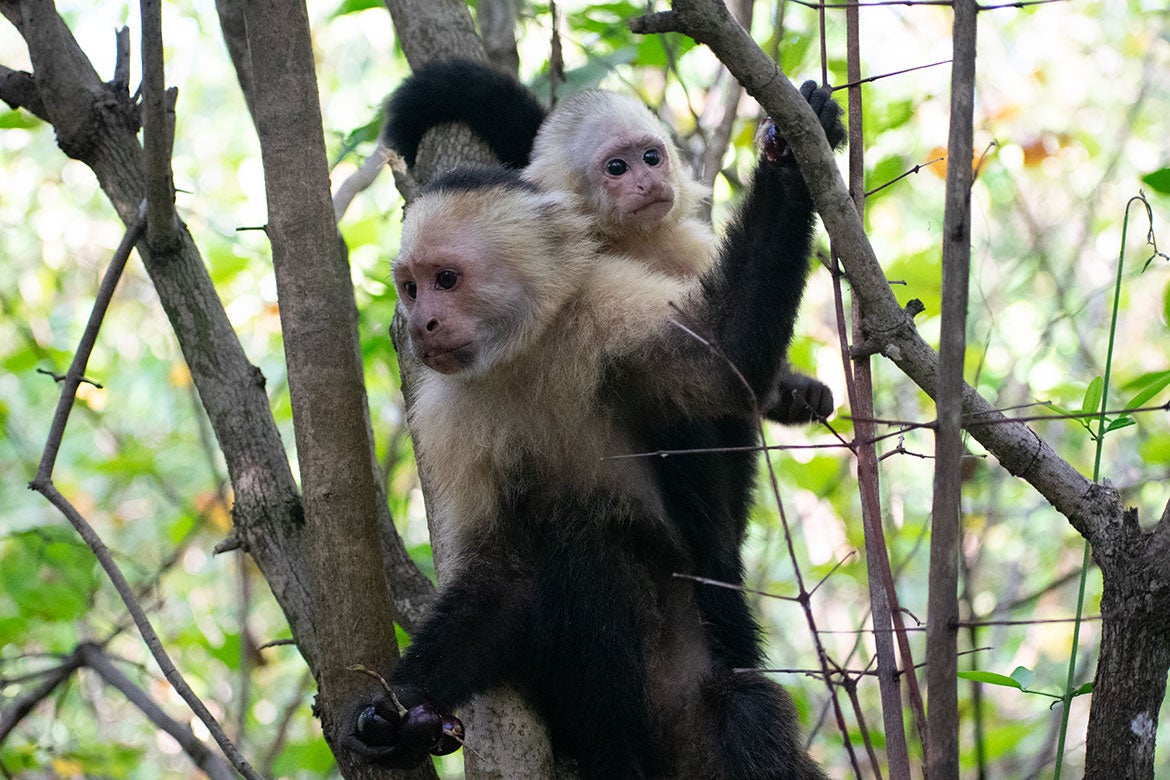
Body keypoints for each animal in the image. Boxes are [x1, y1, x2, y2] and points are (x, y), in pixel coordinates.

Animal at [346, 82, 845, 778]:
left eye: (447, 280)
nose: (422, 325)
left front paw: (790, 156)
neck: (526, 353)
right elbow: (500, 576)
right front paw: (391, 712)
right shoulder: (446, 415)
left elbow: (722, 350)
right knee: (580, 547)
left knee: (733, 697)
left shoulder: (605, 307)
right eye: (411, 288)